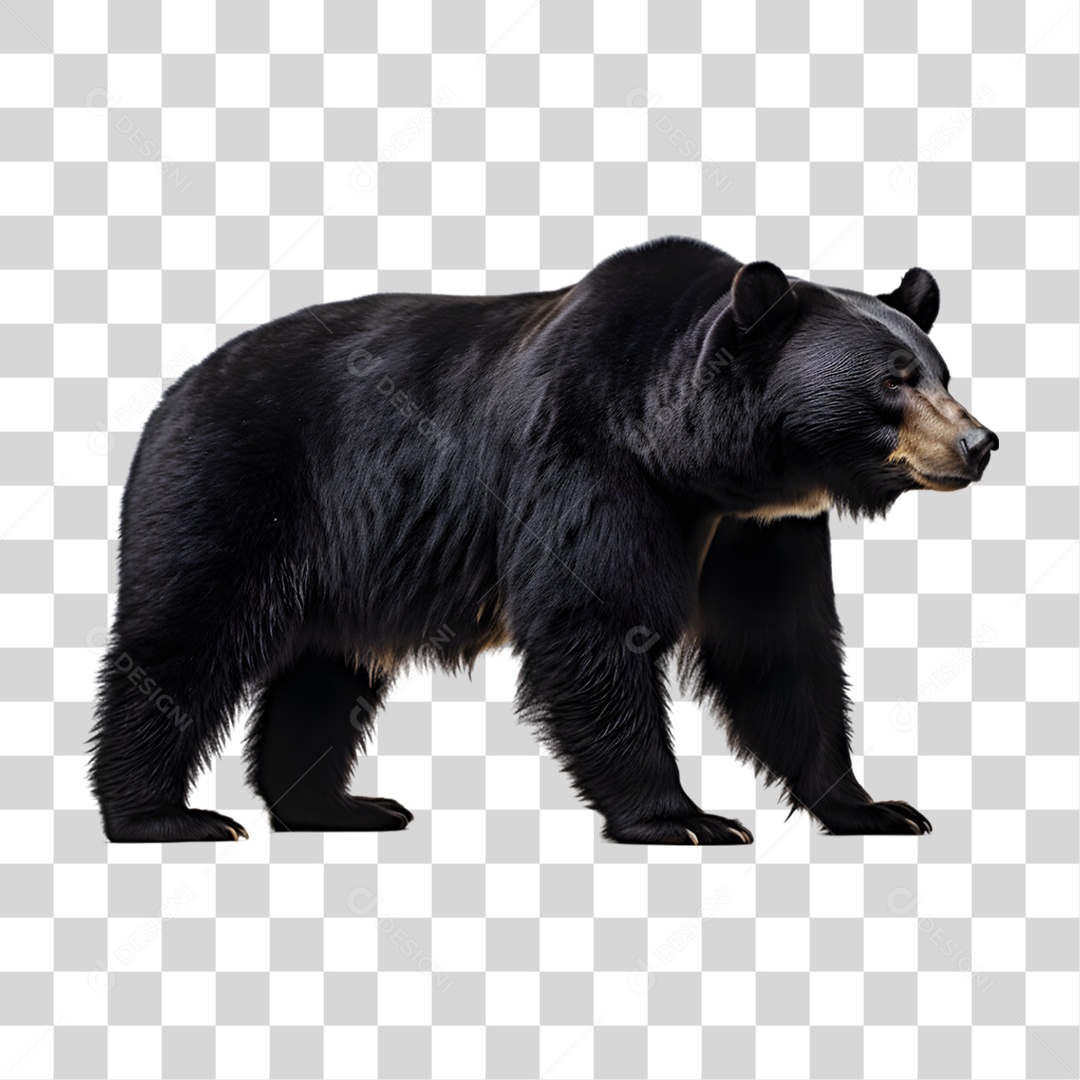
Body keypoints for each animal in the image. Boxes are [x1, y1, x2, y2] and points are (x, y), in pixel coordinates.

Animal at [89, 236, 997, 844]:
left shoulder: (764, 527)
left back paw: (334, 806)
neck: (698, 460)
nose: (979, 442)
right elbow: (595, 620)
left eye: (941, 372)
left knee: (327, 665)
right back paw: (161, 815)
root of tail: (175, 389)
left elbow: (780, 648)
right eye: (893, 380)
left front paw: (873, 804)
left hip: (354, 555)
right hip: (239, 485)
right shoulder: (589, 461)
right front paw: (684, 818)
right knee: (186, 638)